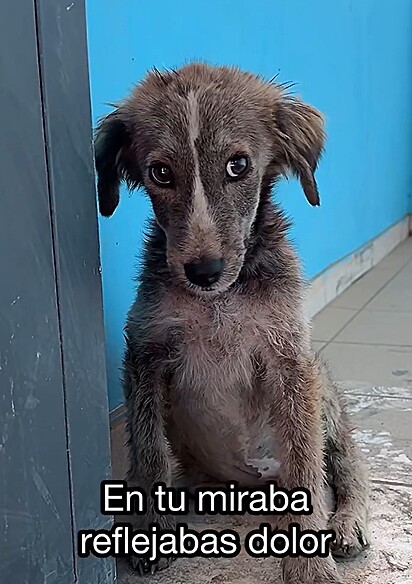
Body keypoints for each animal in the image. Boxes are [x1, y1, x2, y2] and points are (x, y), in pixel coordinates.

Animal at [94, 61, 370, 580]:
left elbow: (306, 462)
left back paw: (345, 521)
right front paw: (149, 527)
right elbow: (148, 448)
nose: (203, 271)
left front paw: (310, 561)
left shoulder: (291, 361)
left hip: (323, 387)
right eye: (161, 173)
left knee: (343, 467)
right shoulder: (145, 353)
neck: (218, 301)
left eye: (238, 165)